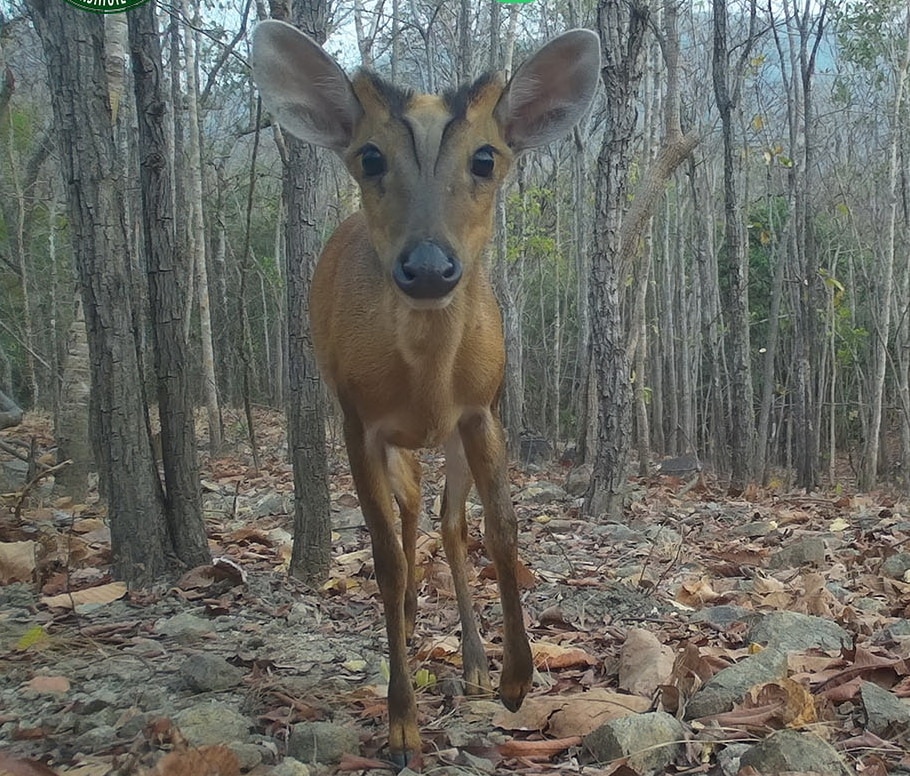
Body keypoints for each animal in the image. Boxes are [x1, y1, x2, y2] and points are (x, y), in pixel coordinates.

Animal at [253, 21, 604, 768]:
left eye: (486, 159)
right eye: (369, 157)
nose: (428, 266)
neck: (424, 381)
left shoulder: (482, 409)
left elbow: (500, 529)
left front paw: (515, 678)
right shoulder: (356, 420)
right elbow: (383, 557)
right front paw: (401, 725)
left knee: (444, 522)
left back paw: (470, 662)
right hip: (392, 441)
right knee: (408, 519)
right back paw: (414, 619)